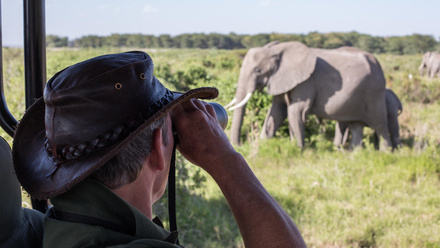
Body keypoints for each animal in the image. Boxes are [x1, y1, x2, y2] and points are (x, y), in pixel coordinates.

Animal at [227, 41, 392, 149]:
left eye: (258, 70)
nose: (239, 145)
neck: (278, 50)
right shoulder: (281, 79)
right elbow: (277, 111)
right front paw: (263, 143)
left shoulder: (306, 81)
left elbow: (295, 111)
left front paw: (299, 149)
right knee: (357, 125)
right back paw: (354, 153)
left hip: (374, 92)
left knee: (380, 124)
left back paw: (386, 153)